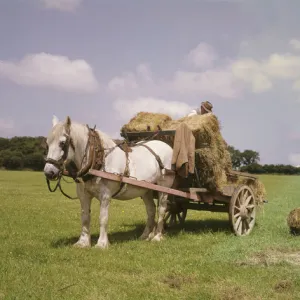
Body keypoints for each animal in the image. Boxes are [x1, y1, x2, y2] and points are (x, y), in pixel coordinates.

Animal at [42, 115, 173, 248]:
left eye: (62, 143)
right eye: (47, 144)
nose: (49, 172)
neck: (98, 160)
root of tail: (166, 146)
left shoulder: (105, 195)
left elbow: (103, 218)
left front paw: (101, 244)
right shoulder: (83, 195)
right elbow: (85, 217)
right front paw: (83, 242)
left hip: (164, 186)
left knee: (162, 209)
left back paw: (157, 236)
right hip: (146, 190)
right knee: (151, 210)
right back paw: (145, 236)